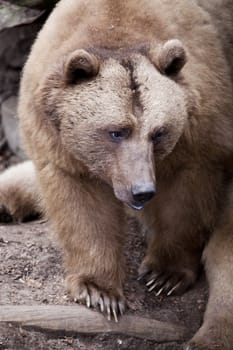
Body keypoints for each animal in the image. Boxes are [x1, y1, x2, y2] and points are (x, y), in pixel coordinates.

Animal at [0, 0, 233, 348]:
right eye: (116, 131)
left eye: (159, 132)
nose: (142, 191)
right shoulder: (57, 141)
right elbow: (83, 210)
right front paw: (99, 291)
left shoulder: (200, 129)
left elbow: (185, 200)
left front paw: (164, 274)